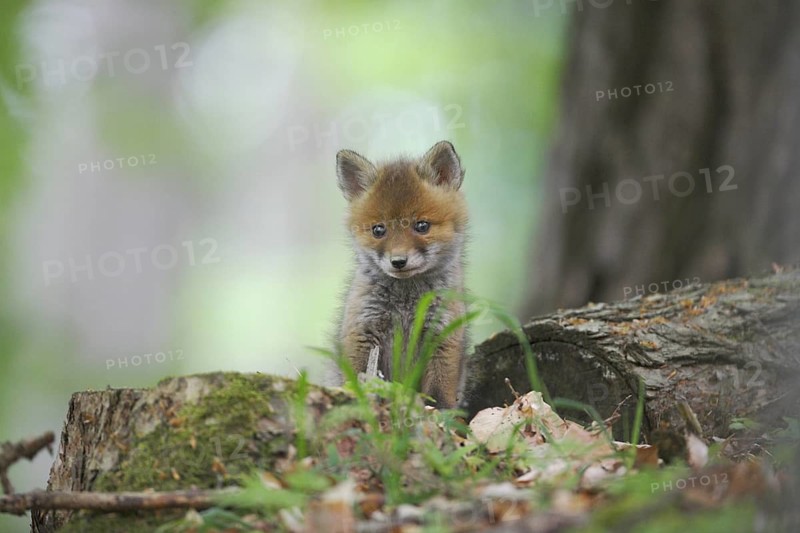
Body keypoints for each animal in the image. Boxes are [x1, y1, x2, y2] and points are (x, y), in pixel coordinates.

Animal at [330, 140, 469, 409]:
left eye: (422, 226)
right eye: (378, 230)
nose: (398, 262)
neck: (405, 304)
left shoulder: (443, 336)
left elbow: (439, 393)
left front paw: (440, 413)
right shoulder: (362, 332)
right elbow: (356, 378)